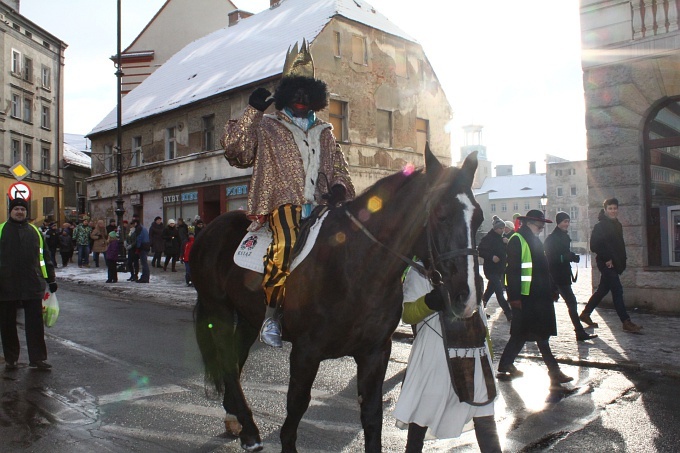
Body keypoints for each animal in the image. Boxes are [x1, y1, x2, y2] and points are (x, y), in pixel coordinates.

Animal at [191, 146, 480, 452]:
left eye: (479, 218)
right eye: (441, 215)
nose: (468, 296)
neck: (355, 266)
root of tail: (209, 228)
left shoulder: (375, 353)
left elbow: (372, 417)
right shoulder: (305, 352)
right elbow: (295, 410)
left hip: (248, 317)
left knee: (235, 361)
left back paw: (237, 422)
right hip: (219, 310)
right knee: (228, 361)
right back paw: (249, 429)